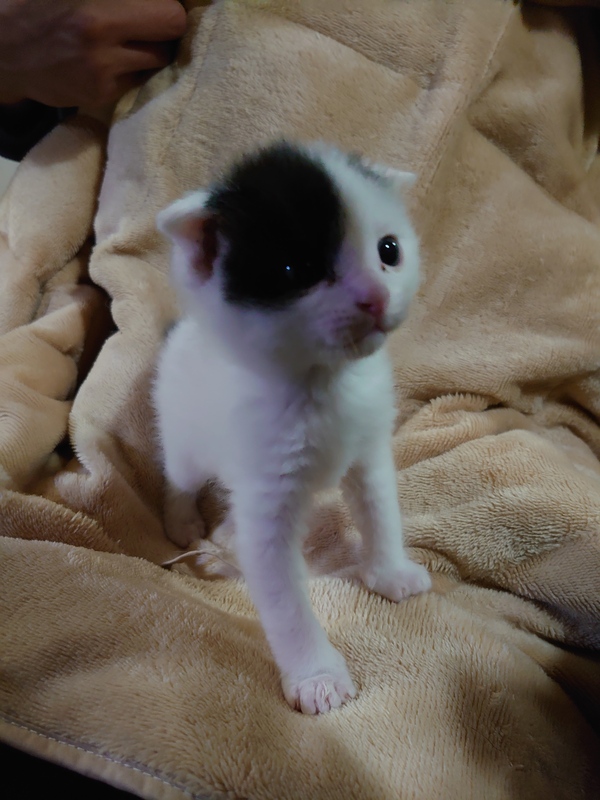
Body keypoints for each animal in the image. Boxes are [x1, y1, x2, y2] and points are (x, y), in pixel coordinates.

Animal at [153, 140, 431, 714]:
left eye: (389, 250)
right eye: (295, 268)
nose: (376, 296)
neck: (323, 386)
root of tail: (182, 330)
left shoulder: (368, 450)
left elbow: (380, 510)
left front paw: (389, 570)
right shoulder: (267, 489)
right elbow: (283, 598)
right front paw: (316, 676)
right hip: (184, 438)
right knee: (178, 477)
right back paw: (184, 522)